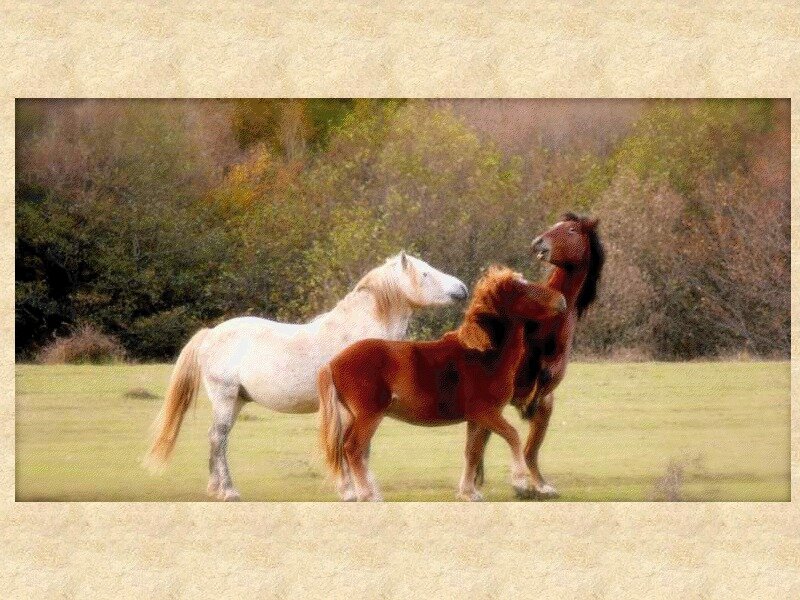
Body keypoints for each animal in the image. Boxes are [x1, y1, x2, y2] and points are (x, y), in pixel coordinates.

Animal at [144, 252, 468, 501]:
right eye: (425, 273)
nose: (462, 289)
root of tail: (211, 333)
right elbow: (348, 446)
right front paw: (353, 491)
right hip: (224, 397)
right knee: (218, 438)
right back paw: (228, 491)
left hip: (236, 401)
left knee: (216, 440)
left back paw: (215, 489)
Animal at [318, 266, 567, 501]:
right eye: (524, 289)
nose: (563, 301)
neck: (482, 354)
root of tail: (333, 362)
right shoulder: (486, 412)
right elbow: (512, 435)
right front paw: (520, 481)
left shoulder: (477, 419)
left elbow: (472, 452)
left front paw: (469, 493)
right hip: (369, 415)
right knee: (353, 448)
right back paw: (367, 495)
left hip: (352, 416)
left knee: (348, 449)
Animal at [461, 213, 605, 501]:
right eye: (554, 226)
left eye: (571, 230)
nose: (538, 243)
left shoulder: (544, 397)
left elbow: (529, 446)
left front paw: (536, 485)